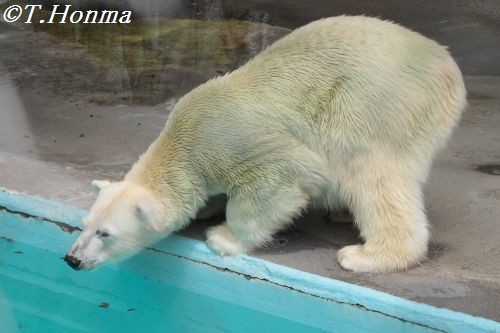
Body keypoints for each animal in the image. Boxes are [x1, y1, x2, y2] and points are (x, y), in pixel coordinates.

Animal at [64, 15, 466, 272]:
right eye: (85, 223)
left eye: (105, 233)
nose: (72, 259)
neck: (184, 141)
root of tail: (450, 69)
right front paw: (208, 209)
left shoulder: (236, 142)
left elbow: (281, 181)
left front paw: (222, 237)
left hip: (375, 102)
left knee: (371, 174)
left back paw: (366, 255)